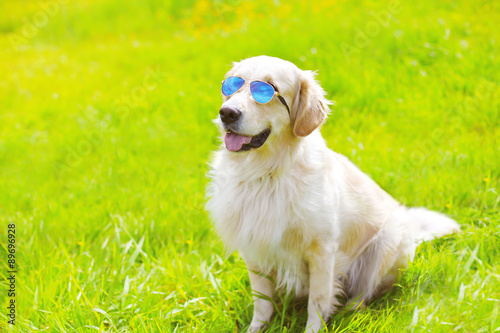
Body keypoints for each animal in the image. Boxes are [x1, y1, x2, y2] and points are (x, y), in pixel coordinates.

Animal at [205, 55, 458, 330]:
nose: (227, 113)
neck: (264, 173)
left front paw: (314, 328)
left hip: (386, 242)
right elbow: (262, 302)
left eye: (267, 91)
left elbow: (317, 302)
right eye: (231, 86)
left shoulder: (322, 251)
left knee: (363, 295)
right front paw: (256, 328)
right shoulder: (253, 246)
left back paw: (350, 315)